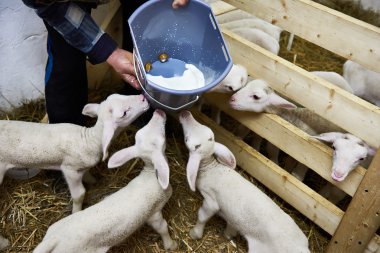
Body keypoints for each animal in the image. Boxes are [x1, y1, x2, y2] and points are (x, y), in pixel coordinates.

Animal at [0, 94, 150, 212]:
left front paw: (94, 181)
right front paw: (76, 212)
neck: (90, 139)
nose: (143, 97)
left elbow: (87, 174)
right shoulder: (69, 169)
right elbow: (79, 194)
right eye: (124, 113)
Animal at [33, 108, 177, 253]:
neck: (151, 174)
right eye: (162, 139)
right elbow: (162, 227)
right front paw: (171, 245)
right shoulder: (154, 212)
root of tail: (53, 241)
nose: (159, 111)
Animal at [180, 110, 310, 253]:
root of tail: (301, 248)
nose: (185, 113)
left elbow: (202, 215)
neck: (210, 168)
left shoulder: (211, 201)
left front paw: (194, 233)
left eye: (187, 140)